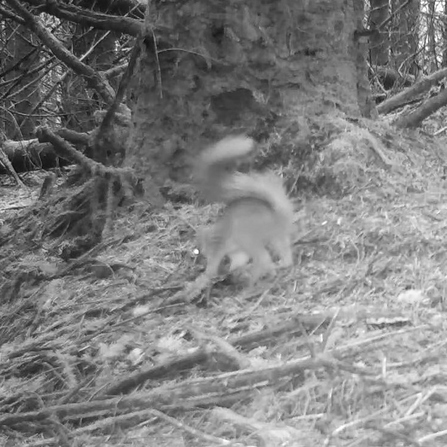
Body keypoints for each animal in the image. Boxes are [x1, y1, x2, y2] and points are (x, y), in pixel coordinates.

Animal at [195, 135, 294, 286]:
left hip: (247, 236)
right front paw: (232, 271)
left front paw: (204, 277)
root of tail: (277, 214)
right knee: (284, 254)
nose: (202, 257)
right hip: (276, 237)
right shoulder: (237, 253)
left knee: (263, 259)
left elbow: (213, 266)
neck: (214, 233)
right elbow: (238, 262)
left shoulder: (218, 247)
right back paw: (278, 266)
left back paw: (256, 279)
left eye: (202, 248)